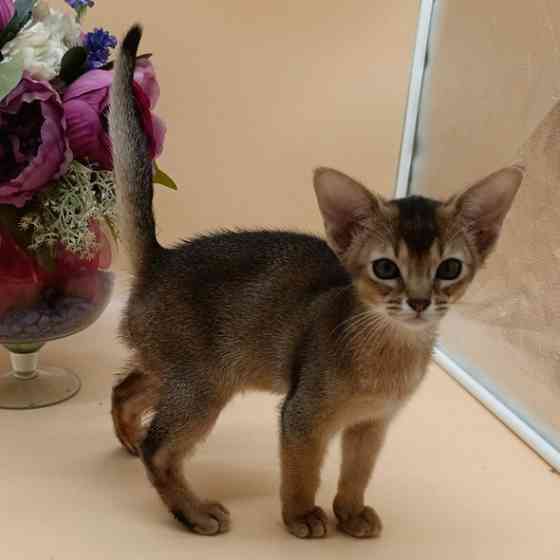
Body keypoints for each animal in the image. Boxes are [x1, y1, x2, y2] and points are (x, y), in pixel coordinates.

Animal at [108, 25, 524, 540]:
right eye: (386, 268)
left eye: (449, 268)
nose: (419, 301)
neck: (388, 352)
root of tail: (159, 260)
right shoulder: (301, 417)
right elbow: (302, 472)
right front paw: (303, 515)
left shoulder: (372, 425)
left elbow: (356, 474)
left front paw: (350, 512)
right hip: (203, 384)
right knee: (160, 449)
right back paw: (194, 510)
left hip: (179, 370)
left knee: (125, 388)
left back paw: (127, 435)